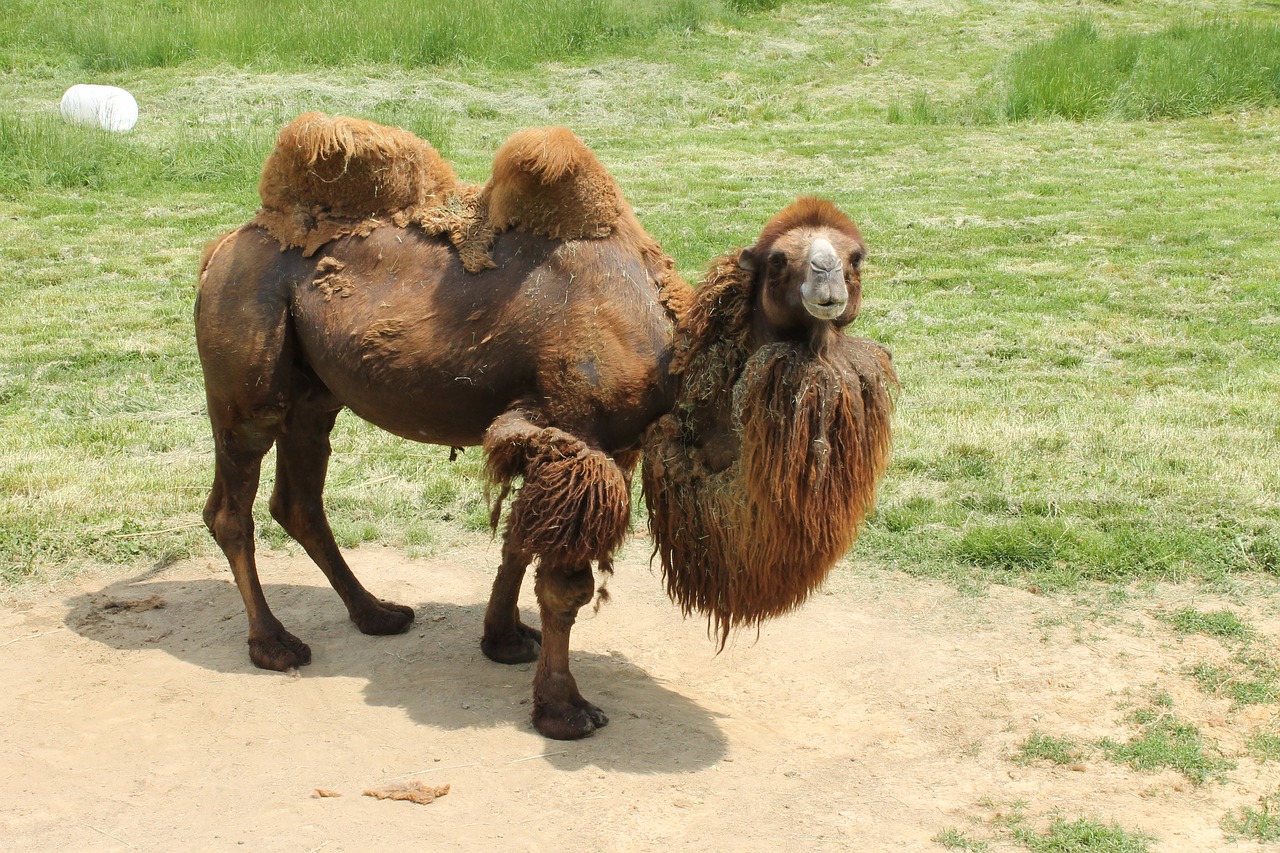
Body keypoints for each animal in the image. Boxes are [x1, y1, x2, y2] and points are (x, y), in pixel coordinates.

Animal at [194, 112, 896, 737]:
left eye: (857, 256)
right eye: (779, 261)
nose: (826, 286)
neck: (669, 359)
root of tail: (221, 249)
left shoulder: (606, 445)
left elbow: (520, 537)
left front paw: (503, 640)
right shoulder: (574, 431)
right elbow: (564, 585)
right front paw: (564, 710)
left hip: (314, 393)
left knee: (299, 499)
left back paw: (377, 613)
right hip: (247, 361)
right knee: (233, 503)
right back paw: (274, 644)